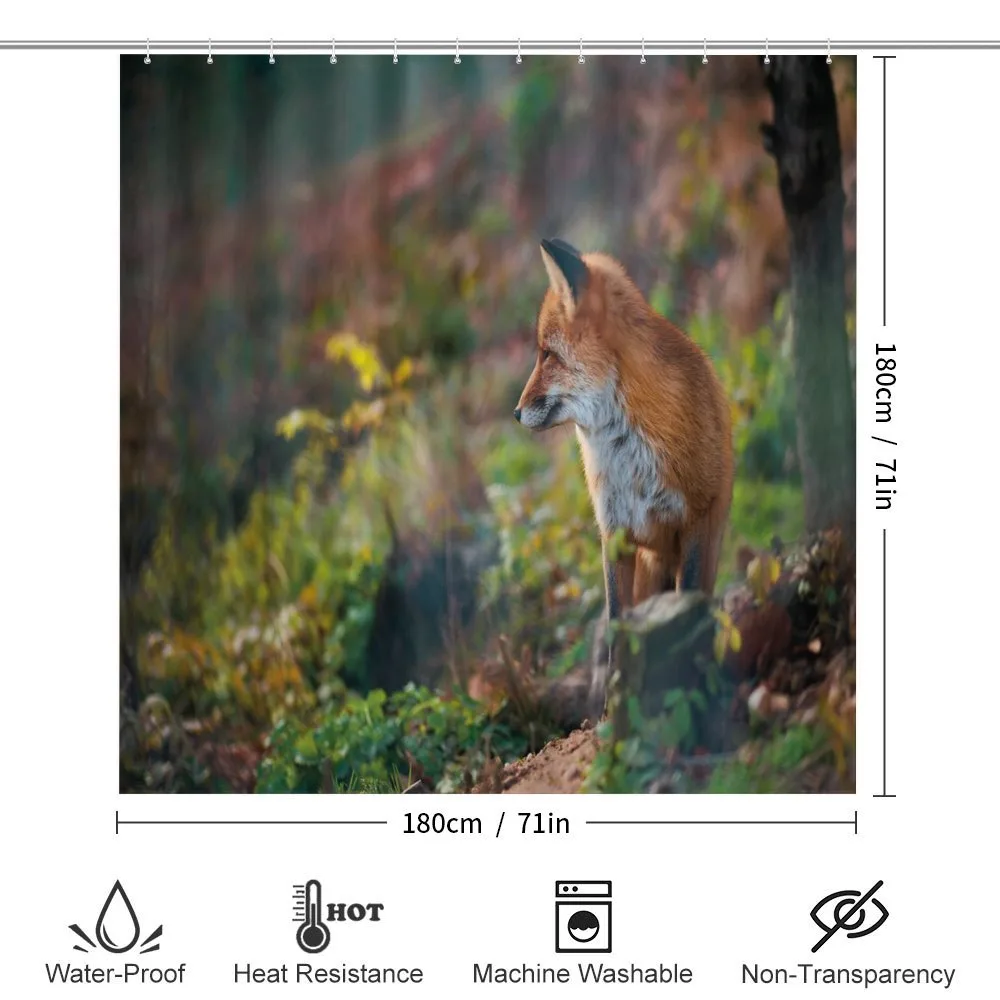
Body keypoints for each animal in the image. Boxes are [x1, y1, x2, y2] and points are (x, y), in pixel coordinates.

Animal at [515, 238, 734, 714]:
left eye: (546, 354)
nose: (516, 413)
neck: (627, 453)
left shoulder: (695, 520)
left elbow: (687, 599)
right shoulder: (614, 533)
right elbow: (617, 624)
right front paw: (612, 708)